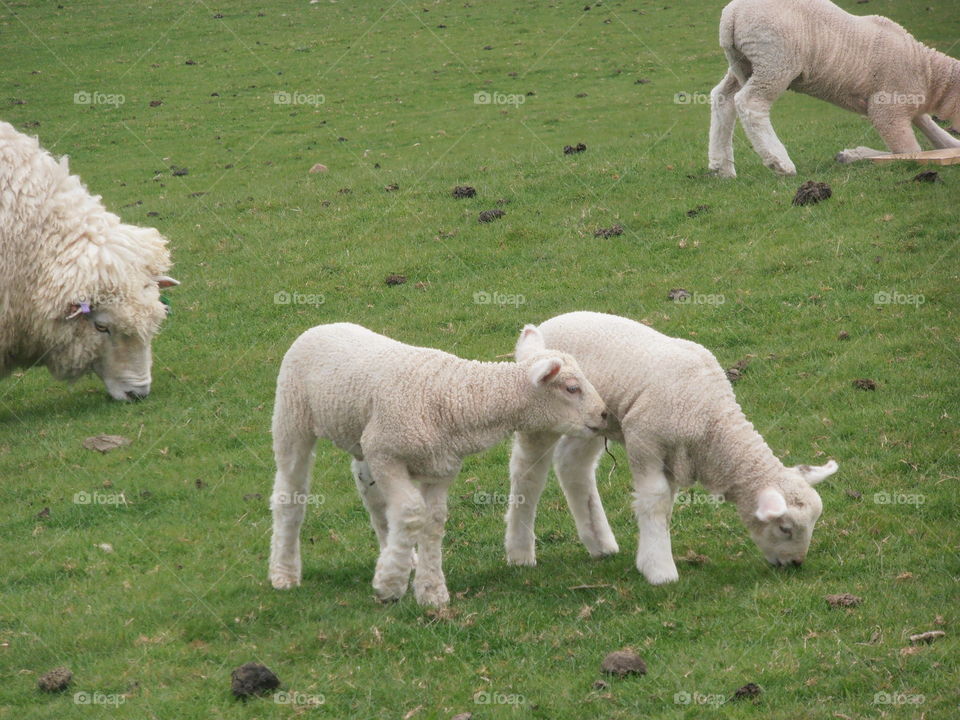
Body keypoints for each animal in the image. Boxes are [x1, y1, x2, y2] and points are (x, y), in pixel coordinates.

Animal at [266, 324, 604, 604]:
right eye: (572, 388)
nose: (603, 414)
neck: (456, 399)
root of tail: (321, 326)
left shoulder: (440, 467)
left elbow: (432, 523)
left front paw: (430, 592)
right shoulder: (385, 452)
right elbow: (411, 512)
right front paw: (390, 585)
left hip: (360, 438)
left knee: (373, 498)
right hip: (292, 415)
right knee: (290, 494)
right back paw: (284, 573)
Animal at [506, 310, 836, 584]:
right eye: (785, 528)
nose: (795, 563)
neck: (713, 424)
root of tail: (542, 327)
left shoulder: (675, 456)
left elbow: (666, 506)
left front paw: (652, 551)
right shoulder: (645, 440)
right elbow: (655, 500)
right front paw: (660, 569)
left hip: (590, 422)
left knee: (573, 466)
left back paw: (600, 544)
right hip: (541, 420)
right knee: (527, 473)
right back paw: (520, 552)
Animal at [704, 0, 960, 177]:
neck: (928, 73)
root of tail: (731, 14)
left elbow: (935, 135)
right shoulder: (887, 107)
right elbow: (909, 151)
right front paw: (854, 155)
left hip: (744, 62)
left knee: (723, 98)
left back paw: (721, 166)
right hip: (775, 59)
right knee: (750, 102)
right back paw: (780, 163)